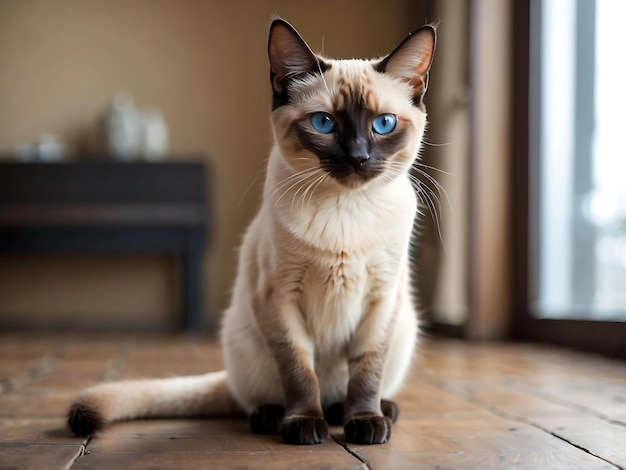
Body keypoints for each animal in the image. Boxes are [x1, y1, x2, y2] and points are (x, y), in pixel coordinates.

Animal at [67, 17, 434, 444]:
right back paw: (279, 417)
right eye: (324, 123)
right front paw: (303, 425)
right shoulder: (279, 297)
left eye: (383, 124)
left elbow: (366, 374)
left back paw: (370, 412)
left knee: (349, 392)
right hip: (245, 337)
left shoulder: (381, 298)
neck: (346, 209)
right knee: (257, 398)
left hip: (403, 325)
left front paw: (365, 423)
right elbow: (299, 371)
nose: (357, 158)